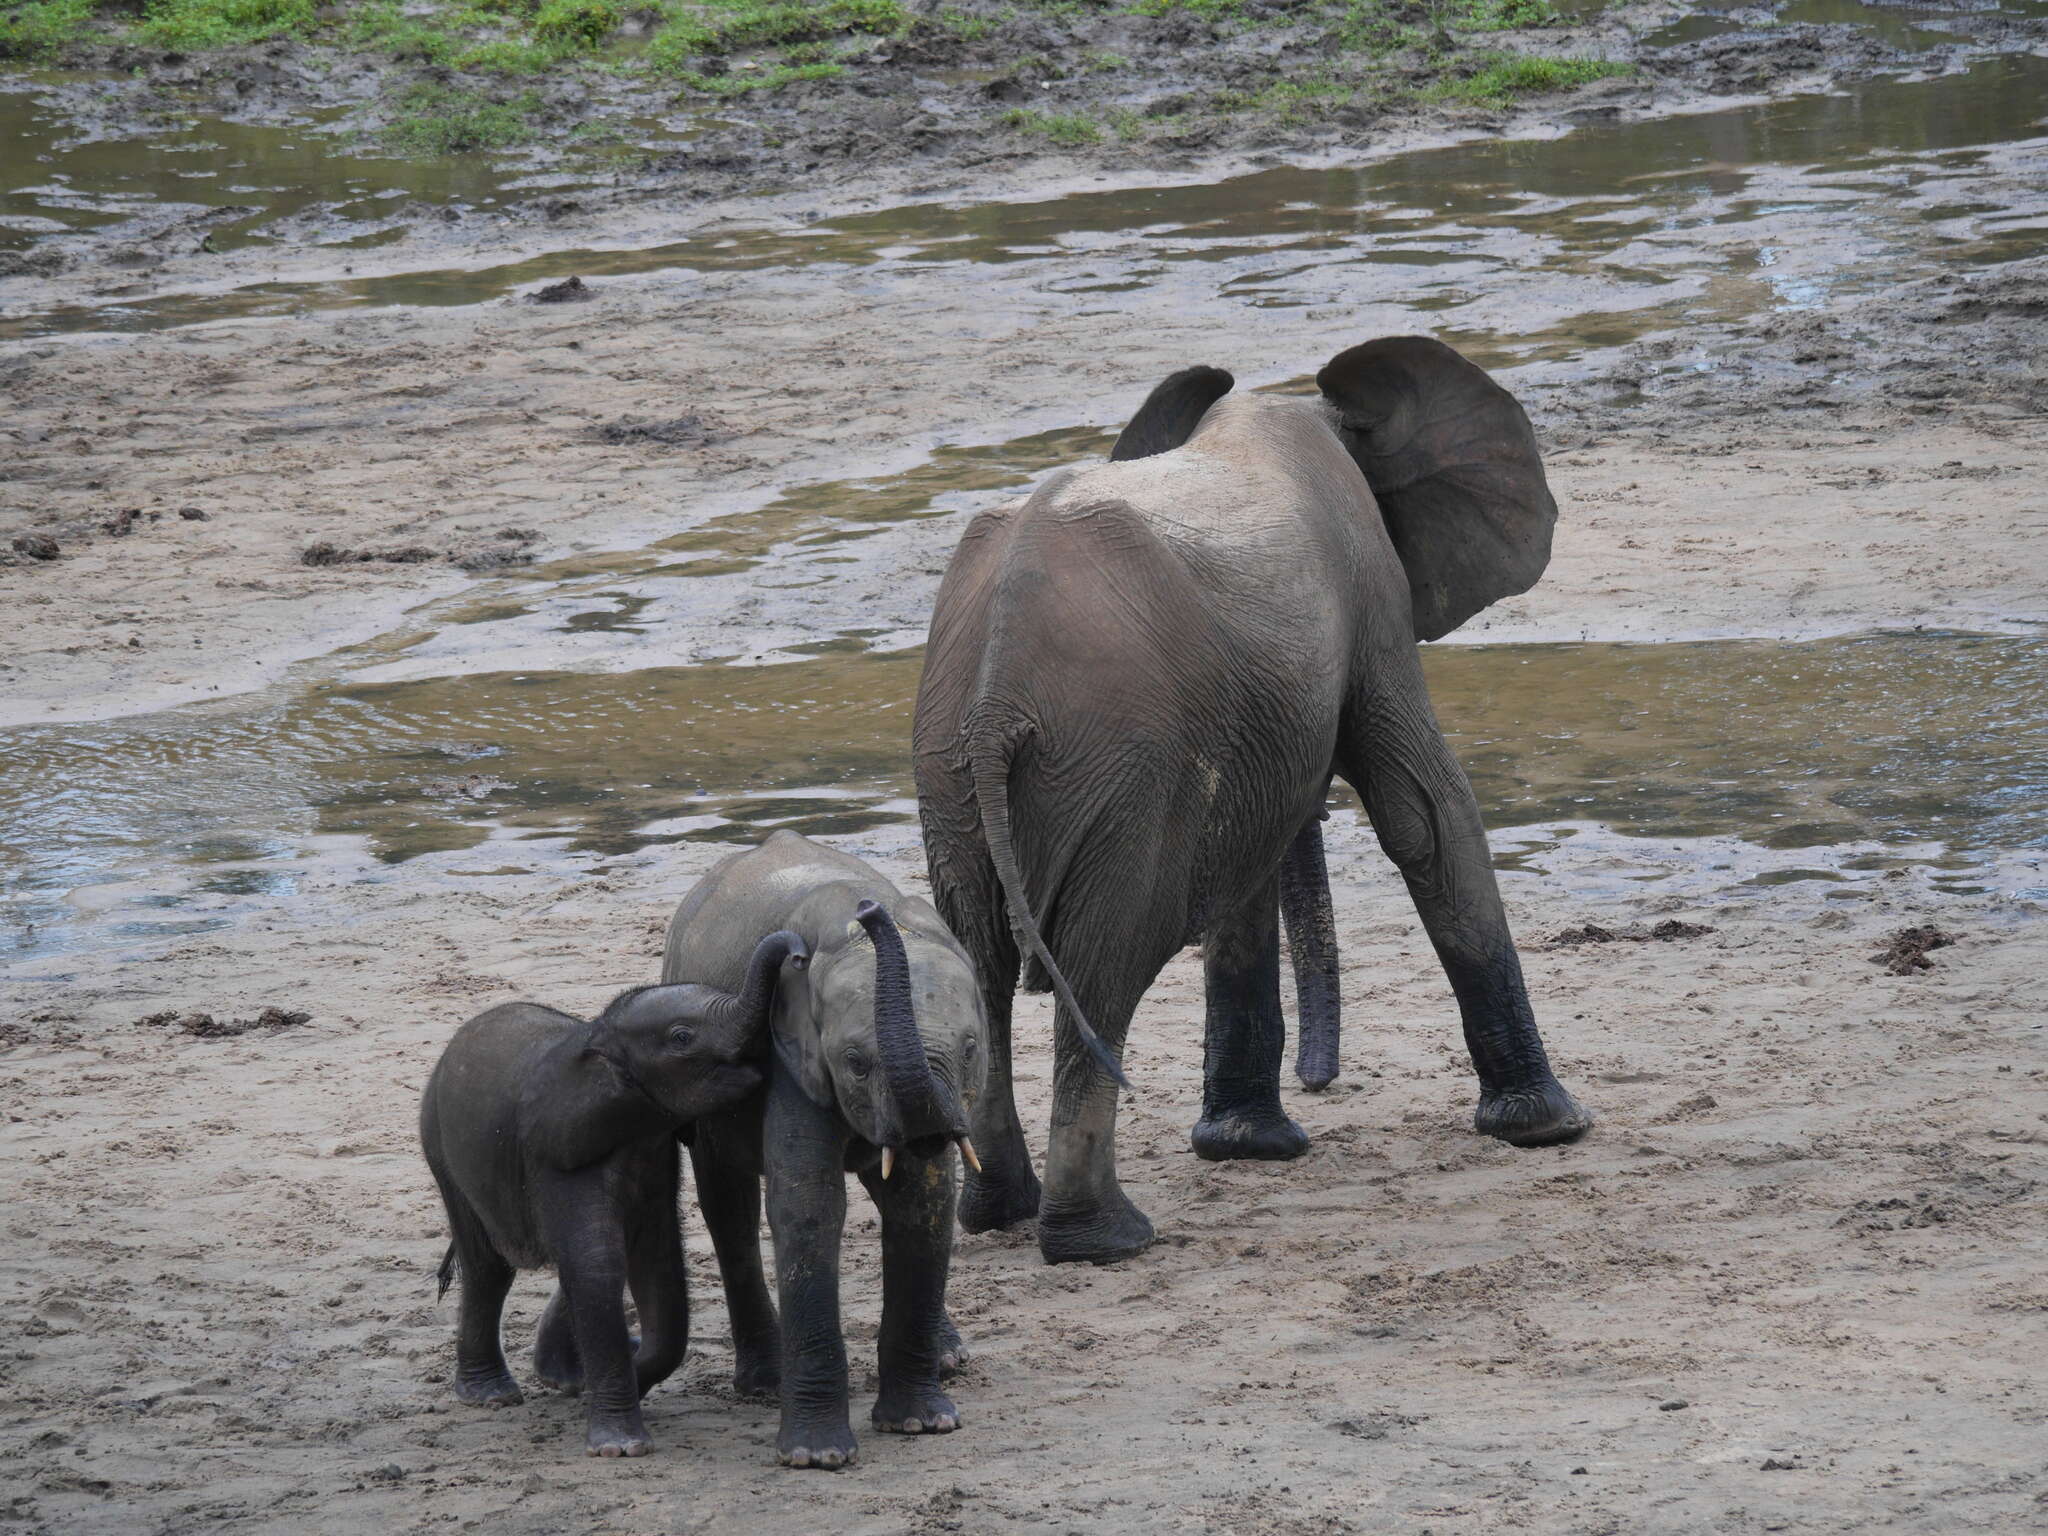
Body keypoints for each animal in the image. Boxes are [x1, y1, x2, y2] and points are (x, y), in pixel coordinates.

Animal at [419, 933, 802, 1458]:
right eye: (681, 1038)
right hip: (441, 1149)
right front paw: (619, 1446)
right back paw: (491, 1395)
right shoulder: (561, 1152)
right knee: (488, 1266)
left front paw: (601, 1387)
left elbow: (658, 1266)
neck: (598, 1037)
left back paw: (561, 1379)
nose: (799, 954)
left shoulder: (654, 1150)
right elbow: (597, 1265)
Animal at [663, 835, 991, 1474]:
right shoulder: (788, 1053)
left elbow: (923, 1199)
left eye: (970, 1048)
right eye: (856, 1063)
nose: (870, 910)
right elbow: (808, 1207)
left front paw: (922, 1424)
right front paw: (816, 1458)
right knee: (728, 1205)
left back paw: (948, 1358)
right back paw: (764, 1384)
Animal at [917, 342, 1597, 1269]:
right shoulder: (1372, 595)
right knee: (1103, 965)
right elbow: (1423, 812)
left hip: (951, 767)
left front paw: (1247, 1148)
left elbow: (1247, 875)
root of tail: (994, 696)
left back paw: (1001, 1215)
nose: (1322, 1080)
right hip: (1113, 765)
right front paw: (1552, 1129)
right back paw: (1104, 1240)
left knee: (980, 962)